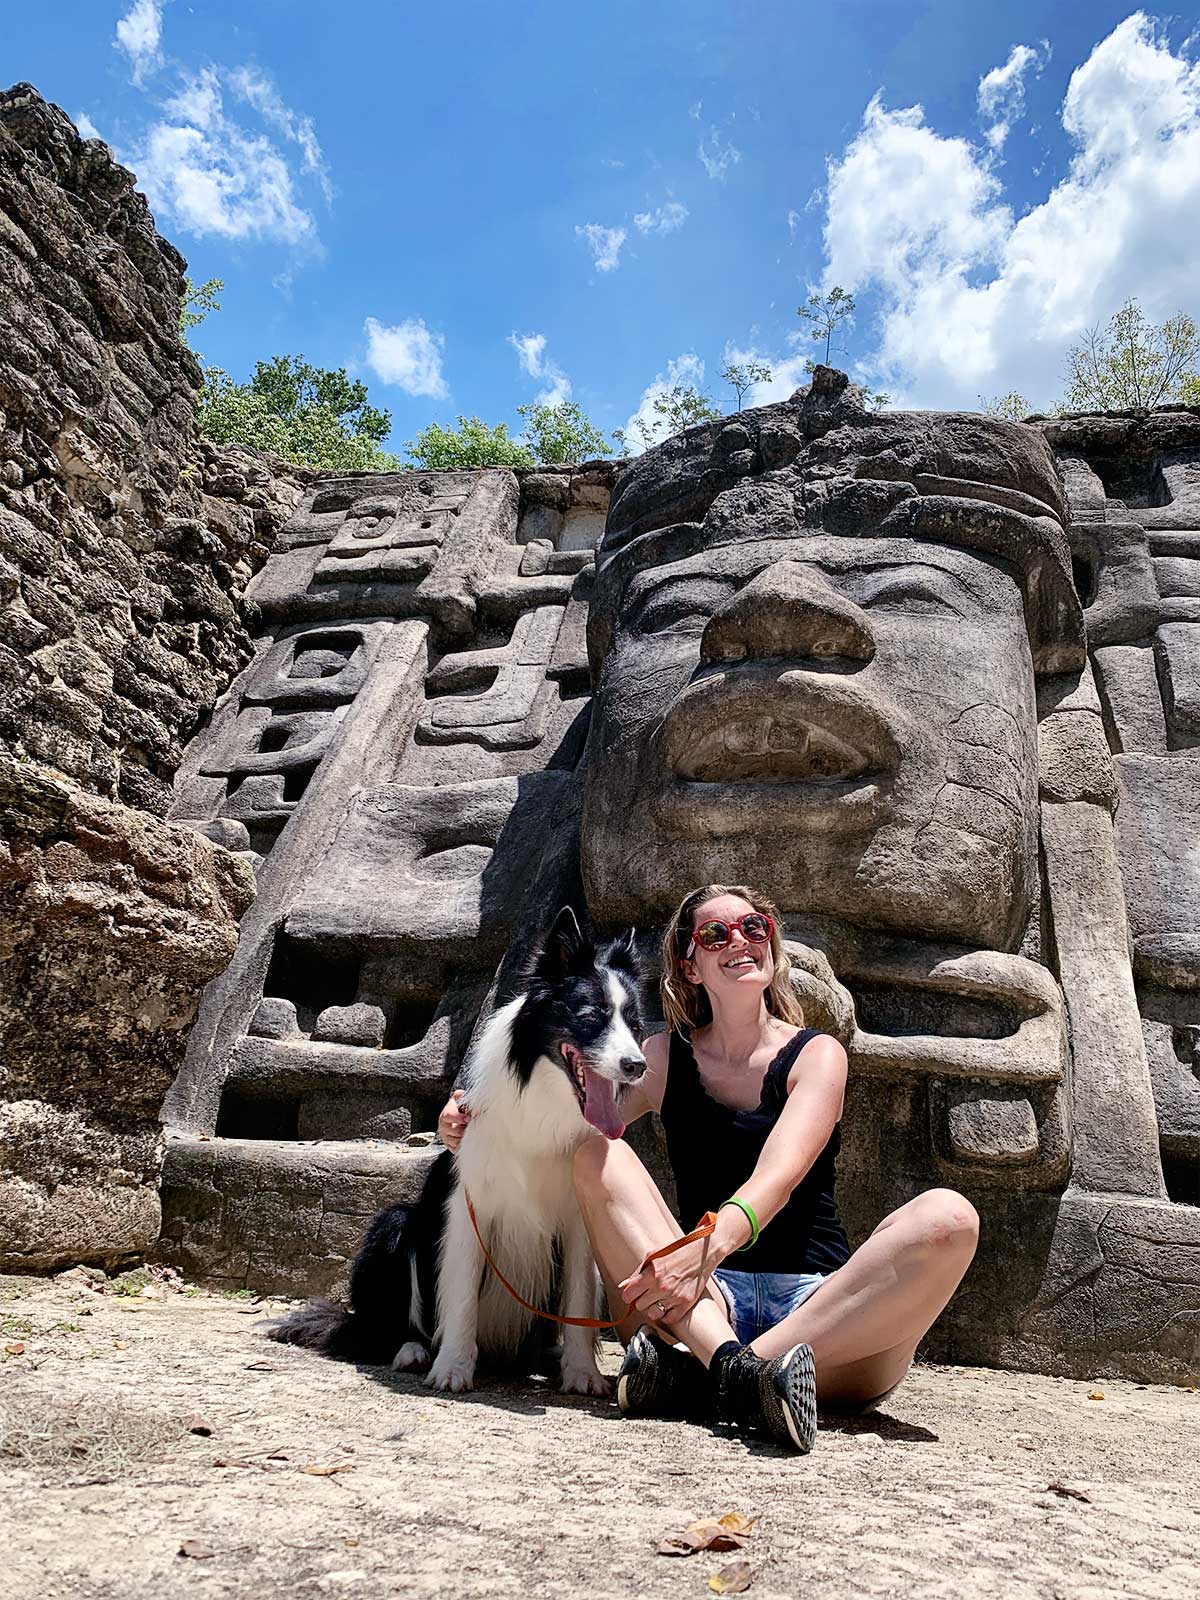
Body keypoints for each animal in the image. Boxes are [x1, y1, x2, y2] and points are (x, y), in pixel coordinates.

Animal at [270, 915, 649, 1401]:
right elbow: (463, 1294)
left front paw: (583, 1373)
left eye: (635, 1024)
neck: (541, 1106)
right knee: (385, 1326)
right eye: (590, 1018)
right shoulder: (467, 1209)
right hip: (395, 1225)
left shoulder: (579, 1221)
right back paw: (413, 1351)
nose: (638, 1066)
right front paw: (451, 1369)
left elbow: (580, 1300)